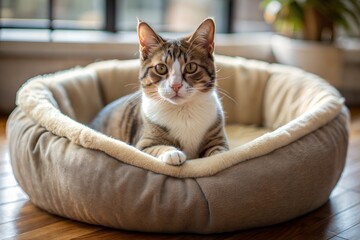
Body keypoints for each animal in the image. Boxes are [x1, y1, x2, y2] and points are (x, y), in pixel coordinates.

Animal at [91, 18, 229, 165]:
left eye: (191, 67)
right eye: (161, 68)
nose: (175, 85)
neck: (183, 111)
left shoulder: (218, 137)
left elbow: (220, 151)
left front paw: (219, 157)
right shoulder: (143, 144)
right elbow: (155, 147)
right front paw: (172, 152)